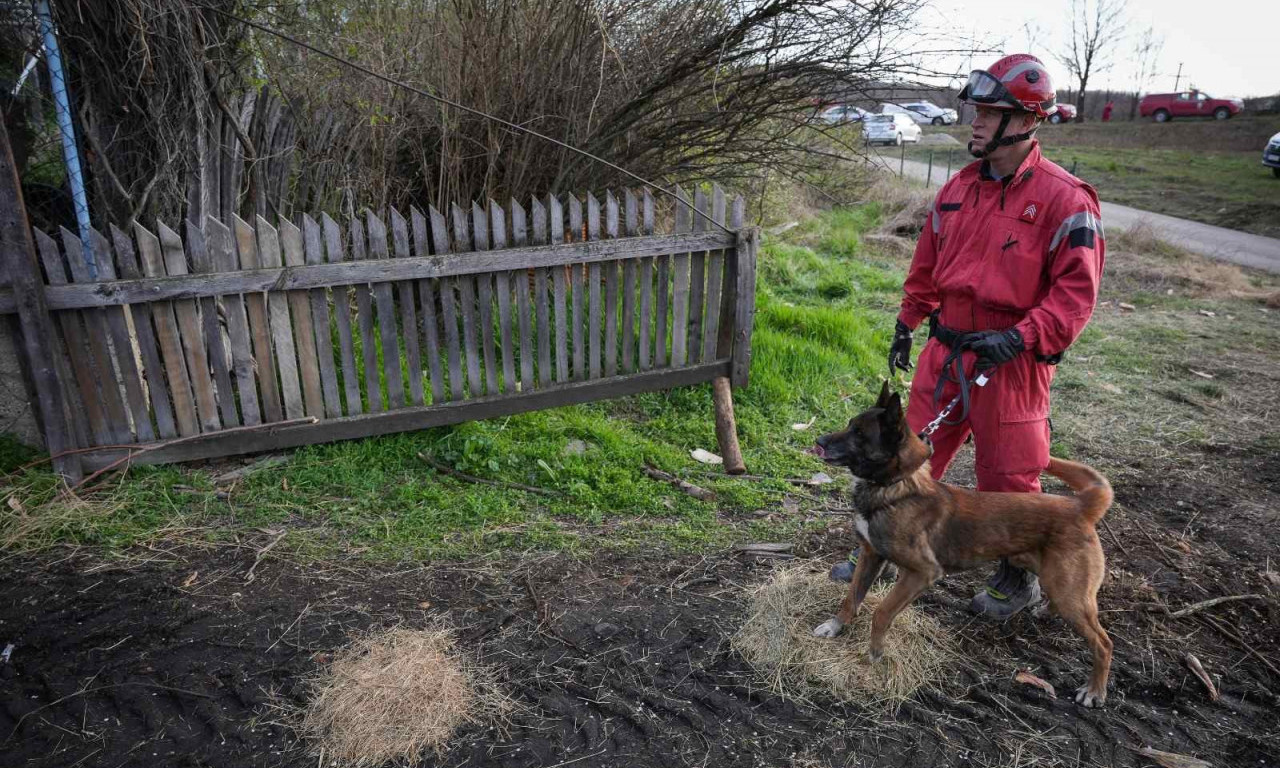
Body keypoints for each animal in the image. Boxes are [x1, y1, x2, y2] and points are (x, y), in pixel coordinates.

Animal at [814, 384, 1116, 706]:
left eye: (860, 434)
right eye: (849, 424)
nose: (818, 441)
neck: (894, 488)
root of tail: (1079, 505)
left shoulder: (921, 573)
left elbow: (881, 613)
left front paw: (874, 654)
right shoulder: (870, 556)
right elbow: (851, 598)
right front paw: (835, 626)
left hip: (1069, 590)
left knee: (1103, 643)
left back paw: (1095, 690)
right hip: (1057, 582)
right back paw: (1047, 611)